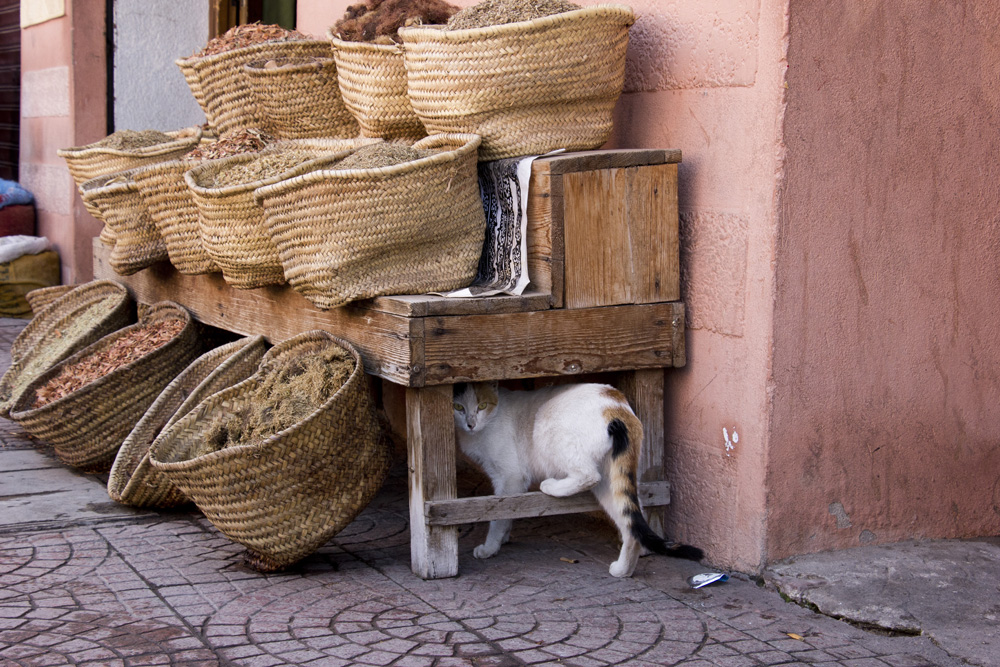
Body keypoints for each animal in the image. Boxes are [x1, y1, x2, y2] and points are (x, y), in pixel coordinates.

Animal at [454, 384, 704, 576]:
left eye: (481, 406)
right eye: (458, 407)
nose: (470, 423)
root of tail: (616, 406)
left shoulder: (510, 477)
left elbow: (500, 514)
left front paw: (490, 547)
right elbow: (508, 513)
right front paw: (504, 537)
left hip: (547, 425)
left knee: (588, 475)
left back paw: (551, 486)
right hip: (612, 481)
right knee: (630, 522)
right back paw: (623, 570)